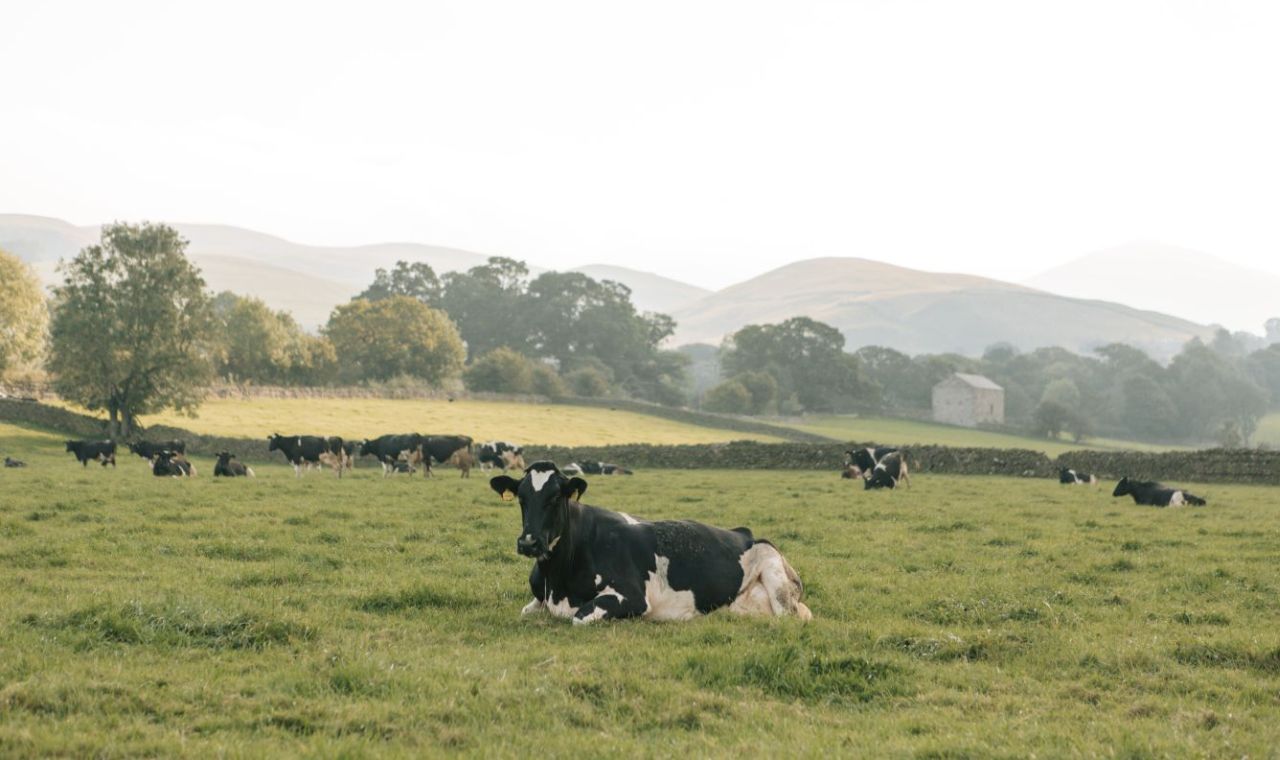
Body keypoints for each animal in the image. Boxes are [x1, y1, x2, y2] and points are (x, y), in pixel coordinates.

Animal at [489, 461, 812, 625]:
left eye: (556, 497)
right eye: (521, 498)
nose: (528, 543)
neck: (558, 581)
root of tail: (744, 532)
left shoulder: (632, 597)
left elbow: (579, 617)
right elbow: (526, 610)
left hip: (777, 580)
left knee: (793, 616)